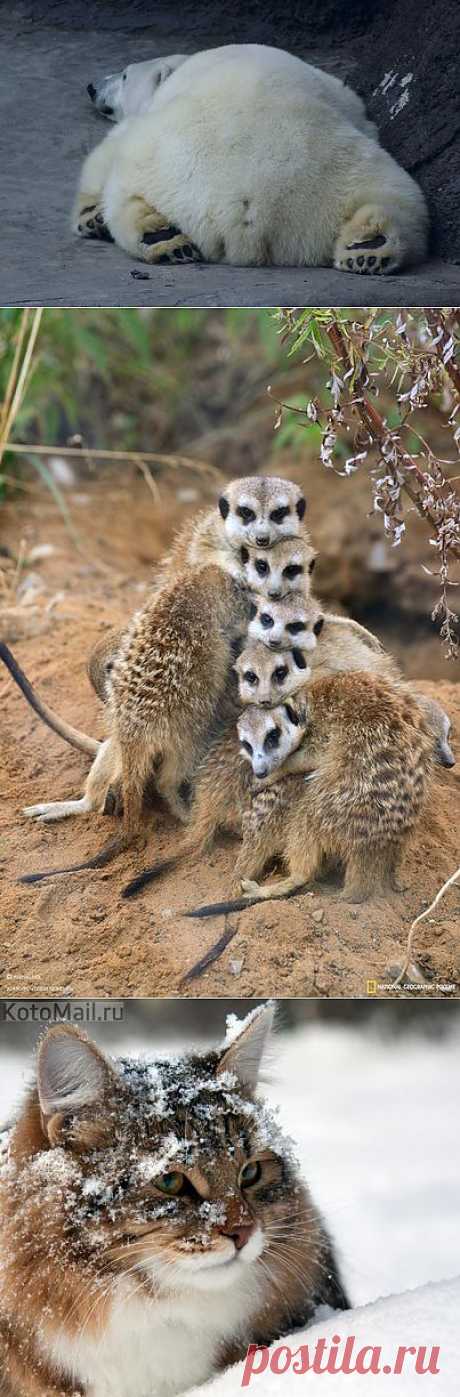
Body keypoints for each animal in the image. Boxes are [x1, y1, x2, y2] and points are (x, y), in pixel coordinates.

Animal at [71, 45, 425, 273]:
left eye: (125, 75)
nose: (92, 86)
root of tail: (246, 212)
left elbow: (103, 154)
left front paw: (89, 217)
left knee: (122, 196)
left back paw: (159, 238)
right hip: (353, 171)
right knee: (395, 200)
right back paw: (368, 248)